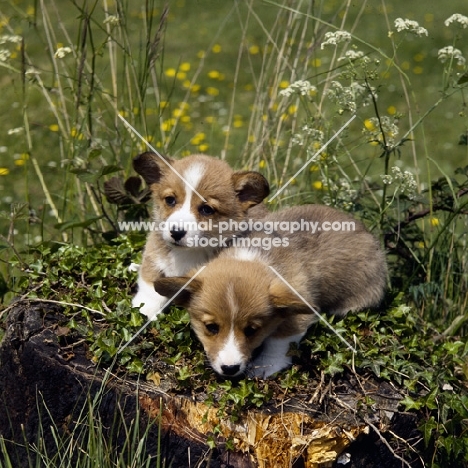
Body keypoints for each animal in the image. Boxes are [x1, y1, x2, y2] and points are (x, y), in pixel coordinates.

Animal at [133, 152, 268, 320]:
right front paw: (144, 309)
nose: (176, 232)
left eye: (207, 209)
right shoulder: (154, 254)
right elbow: (150, 283)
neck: (188, 252)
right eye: (170, 200)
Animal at [154, 205, 388, 376]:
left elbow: (279, 341)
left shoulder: (299, 311)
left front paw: (265, 367)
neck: (250, 257)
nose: (230, 370)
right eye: (211, 327)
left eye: (251, 330)